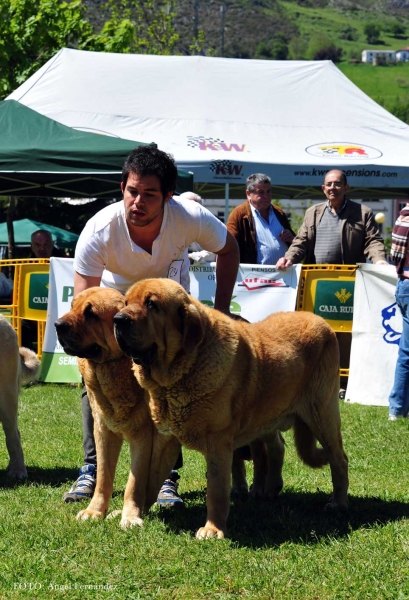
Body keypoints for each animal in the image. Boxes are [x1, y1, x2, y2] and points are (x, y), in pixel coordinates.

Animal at [53, 288, 178, 528]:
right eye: (72, 306)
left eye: (91, 313)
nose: (56, 324)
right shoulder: (104, 433)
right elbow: (103, 477)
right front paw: (95, 511)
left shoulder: (144, 438)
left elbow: (134, 483)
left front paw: (130, 517)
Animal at [114, 278, 348, 540]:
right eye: (125, 303)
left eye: (151, 305)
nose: (118, 319)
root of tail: (321, 321)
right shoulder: (167, 439)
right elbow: (145, 480)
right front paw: (132, 514)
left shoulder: (218, 442)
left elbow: (216, 489)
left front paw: (213, 529)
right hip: (270, 415)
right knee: (276, 447)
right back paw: (269, 490)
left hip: (321, 415)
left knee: (339, 459)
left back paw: (338, 503)